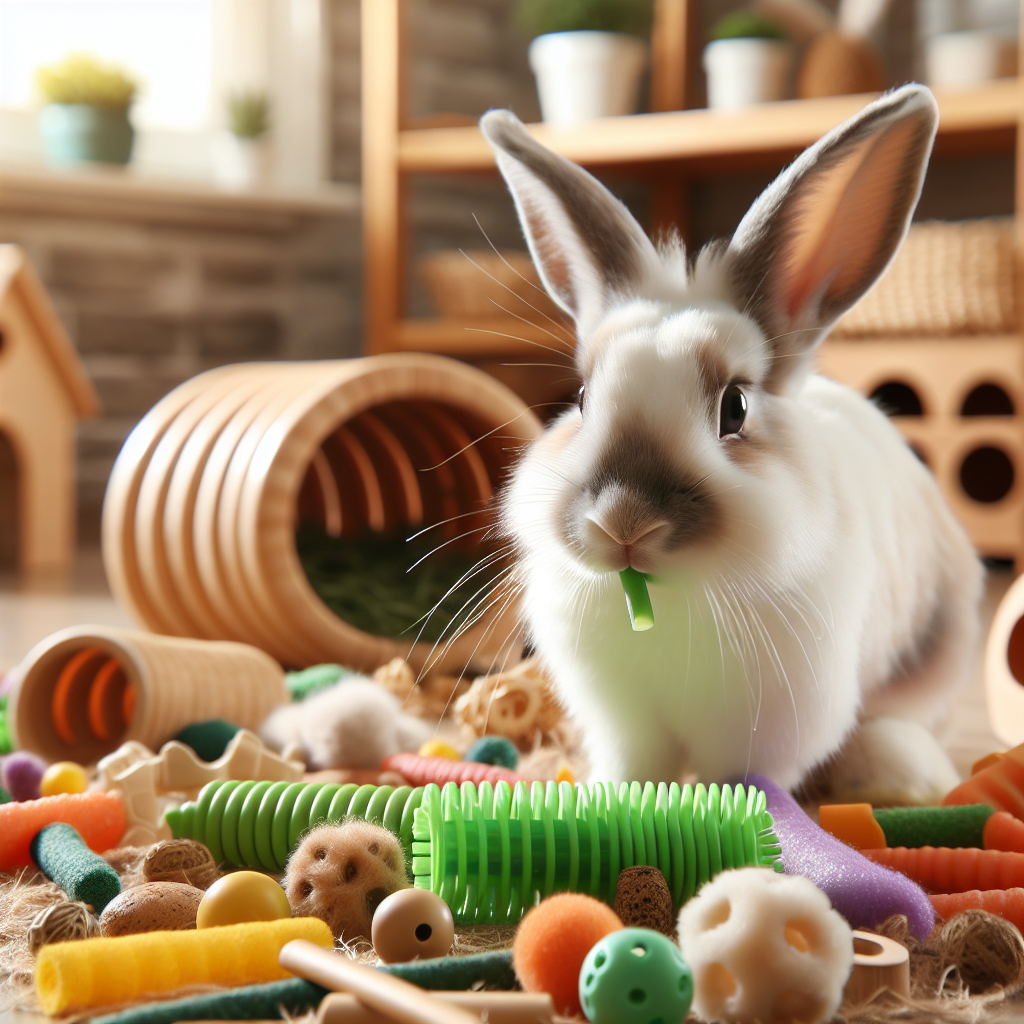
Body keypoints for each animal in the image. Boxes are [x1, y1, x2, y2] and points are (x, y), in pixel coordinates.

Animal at [483, 86, 987, 806]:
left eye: (736, 408)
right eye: (581, 398)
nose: (623, 523)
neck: (676, 595)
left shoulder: (769, 728)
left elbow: (742, 781)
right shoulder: (626, 723)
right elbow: (636, 771)